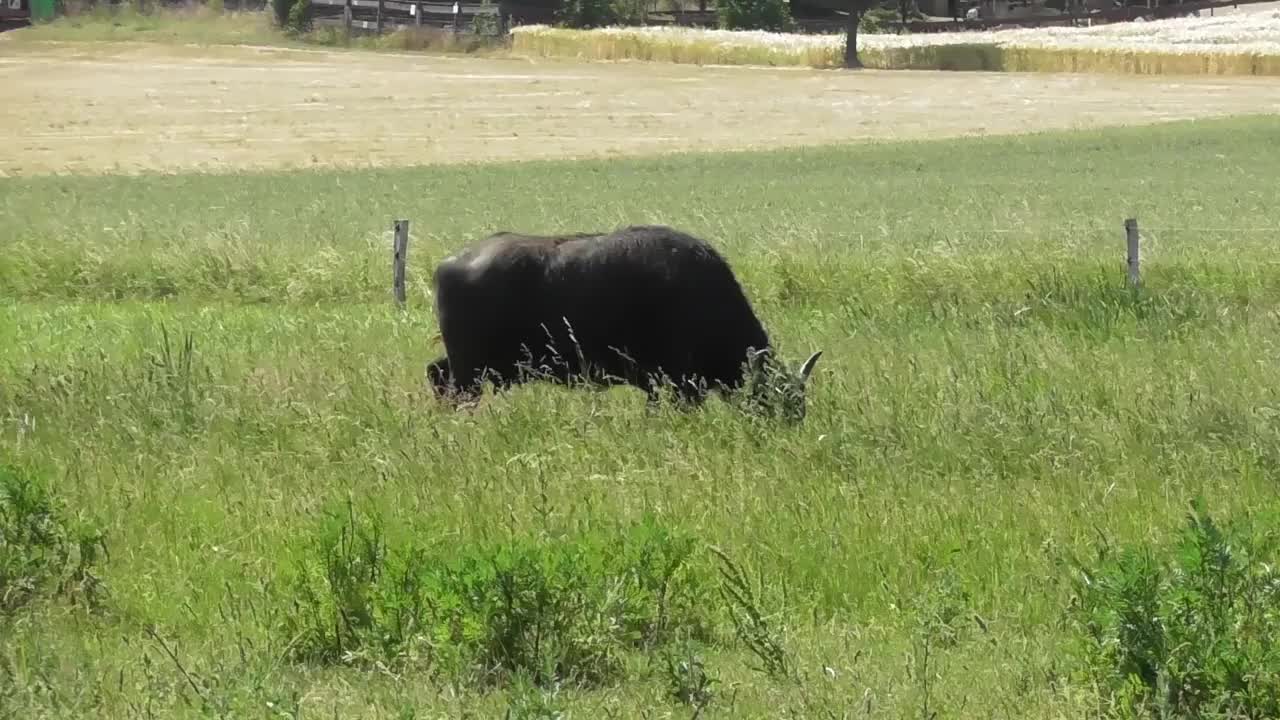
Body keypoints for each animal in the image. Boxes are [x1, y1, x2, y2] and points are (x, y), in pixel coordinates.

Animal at [419, 221, 819, 417]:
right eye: (775, 399)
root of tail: (450, 263)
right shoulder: (681, 383)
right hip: (470, 371)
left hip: (466, 365)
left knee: (435, 373)